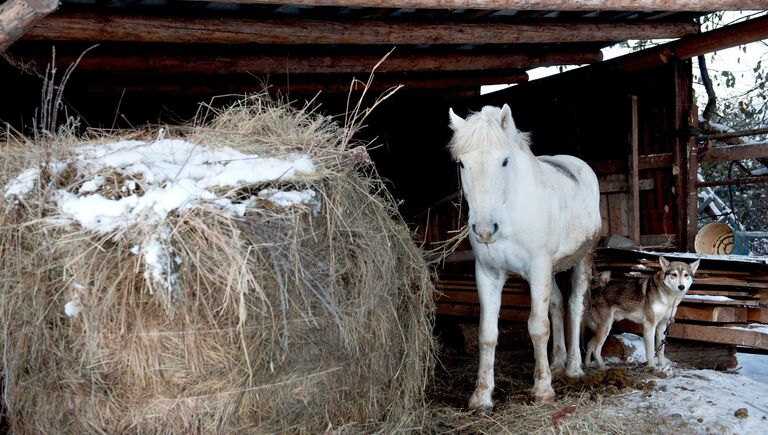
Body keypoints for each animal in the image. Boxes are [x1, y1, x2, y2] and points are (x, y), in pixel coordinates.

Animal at [448, 104, 604, 408]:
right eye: (461, 163)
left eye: (505, 161)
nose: (484, 230)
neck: (510, 209)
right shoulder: (488, 272)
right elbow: (487, 334)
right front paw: (481, 397)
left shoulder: (539, 266)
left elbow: (538, 326)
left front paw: (543, 390)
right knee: (556, 303)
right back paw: (557, 363)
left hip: (583, 258)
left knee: (574, 306)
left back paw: (573, 367)